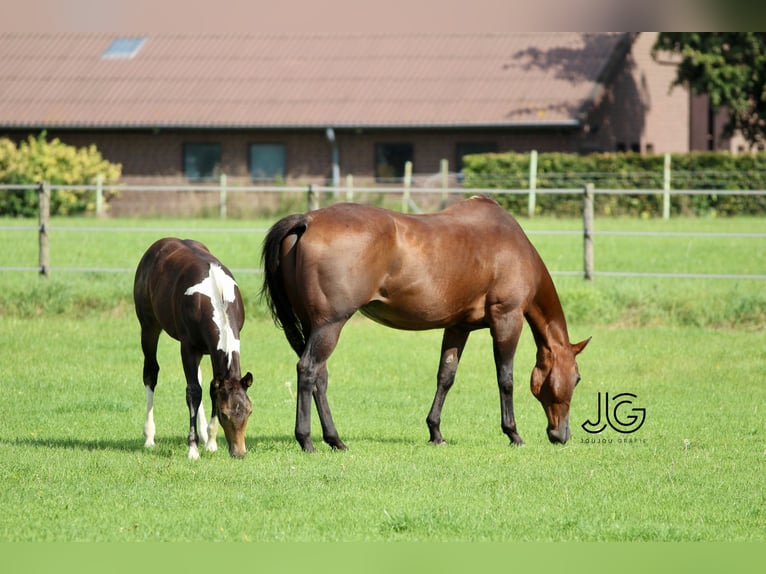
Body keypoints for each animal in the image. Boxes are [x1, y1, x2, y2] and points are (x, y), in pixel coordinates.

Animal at [135, 237, 255, 460]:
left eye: (249, 411)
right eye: (224, 413)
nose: (239, 452)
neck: (216, 295)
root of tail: (161, 243)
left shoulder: (210, 351)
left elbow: (212, 387)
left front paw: (211, 441)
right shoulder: (188, 347)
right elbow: (193, 392)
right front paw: (193, 448)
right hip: (149, 327)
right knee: (151, 373)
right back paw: (149, 437)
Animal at [260, 198, 592, 454]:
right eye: (577, 379)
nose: (562, 435)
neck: (512, 246)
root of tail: (307, 220)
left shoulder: (458, 327)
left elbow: (445, 377)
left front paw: (435, 433)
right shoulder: (506, 320)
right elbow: (506, 379)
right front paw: (513, 433)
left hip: (315, 327)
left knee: (320, 377)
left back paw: (335, 440)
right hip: (329, 326)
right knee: (308, 371)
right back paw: (307, 441)